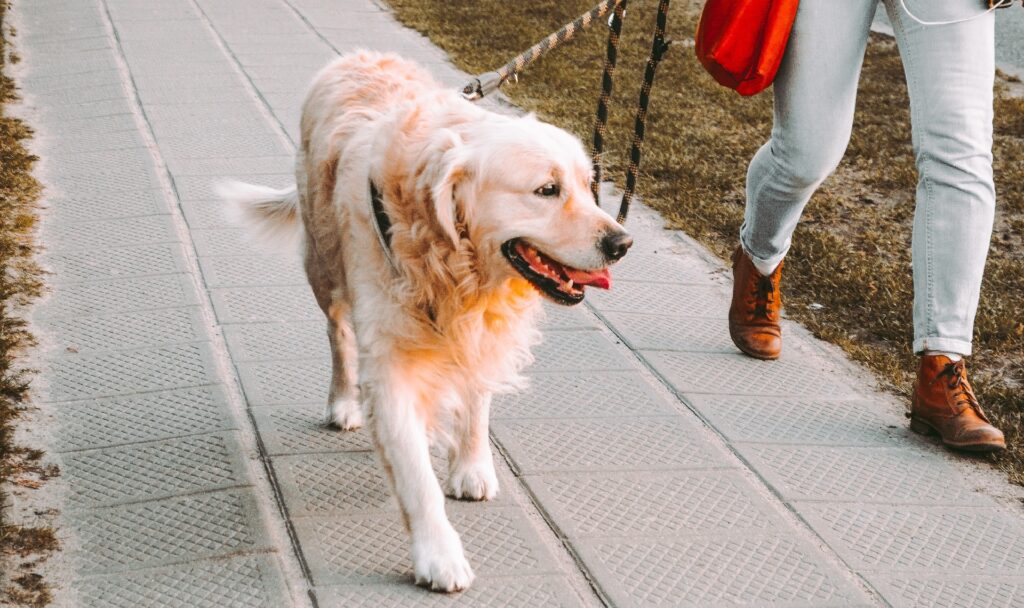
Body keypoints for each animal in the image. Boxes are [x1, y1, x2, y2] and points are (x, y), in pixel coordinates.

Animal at [220, 52, 626, 593]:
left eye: (588, 185)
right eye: (547, 190)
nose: (622, 243)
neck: (452, 263)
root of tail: (354, 55)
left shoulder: (480, 332)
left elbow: (476, 401)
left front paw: (471, 466)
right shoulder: (391, 365)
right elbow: (416, 477)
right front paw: (439, 555)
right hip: (323, 265)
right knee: (338, 334)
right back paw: (343, 401)